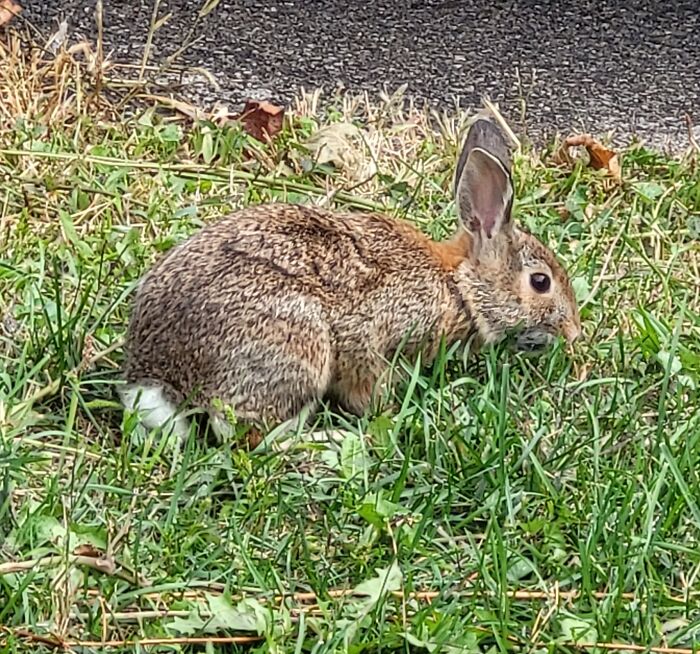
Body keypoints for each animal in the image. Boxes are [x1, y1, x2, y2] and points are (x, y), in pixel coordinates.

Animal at [119, 117, 581, 441]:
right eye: (541, 282)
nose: (574, 332)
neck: (460, 286)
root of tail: (158, 377)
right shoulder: (375, 342)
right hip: (299, 350)